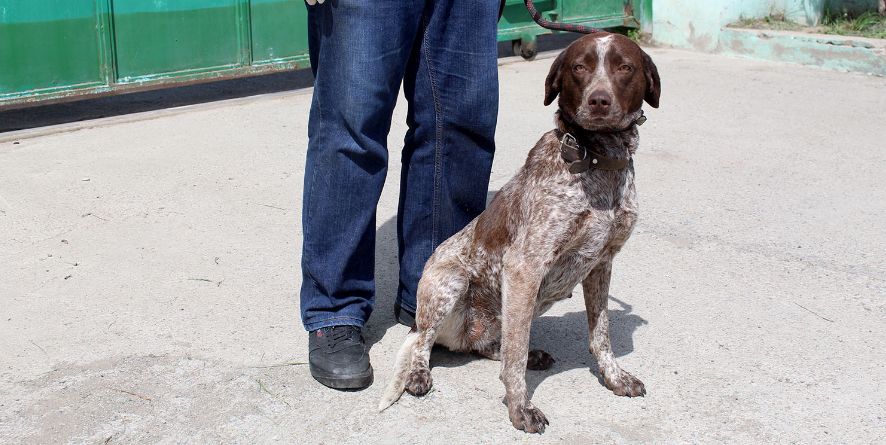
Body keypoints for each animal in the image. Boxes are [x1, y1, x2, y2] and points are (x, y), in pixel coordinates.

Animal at [378, 32, 664, 434]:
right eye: (580, 67)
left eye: (625, 67)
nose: (599, 100)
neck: (596, 159)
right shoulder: (524, 269)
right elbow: (513, 358)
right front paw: (519, 408)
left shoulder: (600, 264)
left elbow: (600, 334)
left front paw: (614, 377)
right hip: (450, 283)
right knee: (421, 338)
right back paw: (419, 373)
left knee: (486, 346)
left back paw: (527, 354)